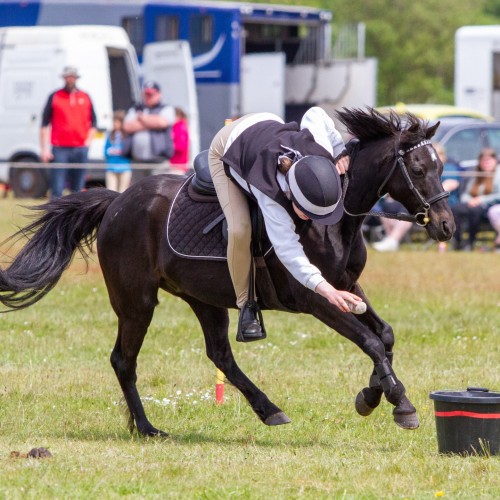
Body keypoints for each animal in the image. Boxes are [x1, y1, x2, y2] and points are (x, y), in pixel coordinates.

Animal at [0, 108, 456, 434]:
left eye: (440, 167)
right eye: (418, 170)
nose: (446, 226)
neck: (334, 220)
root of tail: (115, 201)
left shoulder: (347, 285)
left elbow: (385, 337)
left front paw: (373, 393)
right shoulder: (315, 299)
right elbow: (371, 342)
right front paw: (400, 403)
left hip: (204, 299)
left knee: (220, 353)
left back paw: (269, 410)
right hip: (137, 302)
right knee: (123, 361)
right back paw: (147, 427)